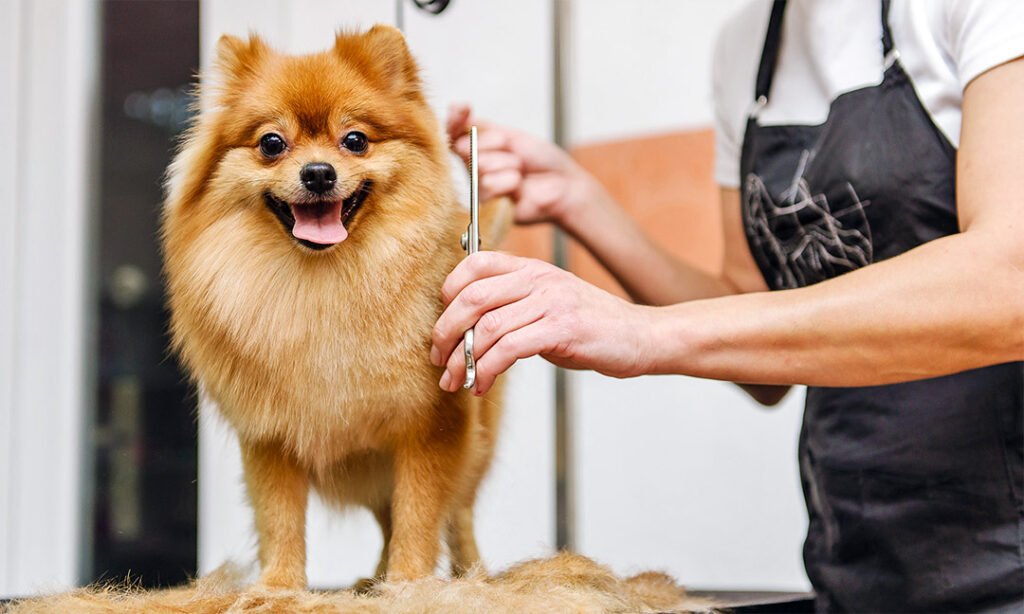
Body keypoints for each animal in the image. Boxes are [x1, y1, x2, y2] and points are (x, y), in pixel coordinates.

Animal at [160, 26, 507, 589]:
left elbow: (420, 512)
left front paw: (410, 584)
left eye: (356, 140)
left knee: (456, 513)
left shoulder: (433, 424)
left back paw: (466, 575)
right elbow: (280, 517)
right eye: (272, 144)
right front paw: (279, 587)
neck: (326, 286)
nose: (319, 173)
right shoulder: (269, 434)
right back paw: (372, 580)